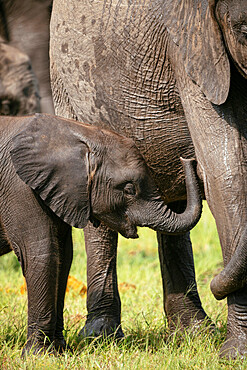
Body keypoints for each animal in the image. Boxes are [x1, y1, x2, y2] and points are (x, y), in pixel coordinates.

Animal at [0, 113, 201, 356]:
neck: (77, 135)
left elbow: (63, 257)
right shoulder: (20, 189)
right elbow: (42, 255)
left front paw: (60, 350)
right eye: (129, 189)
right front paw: (38, 356)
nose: (188, 159)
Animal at [49, 0, 247, 358]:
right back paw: (101, 337)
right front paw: (237, 354)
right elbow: (227, 174)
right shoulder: (194, 51)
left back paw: (193, 333)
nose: (216, 284)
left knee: (177, 207)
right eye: (245, 30)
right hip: (64, 80)